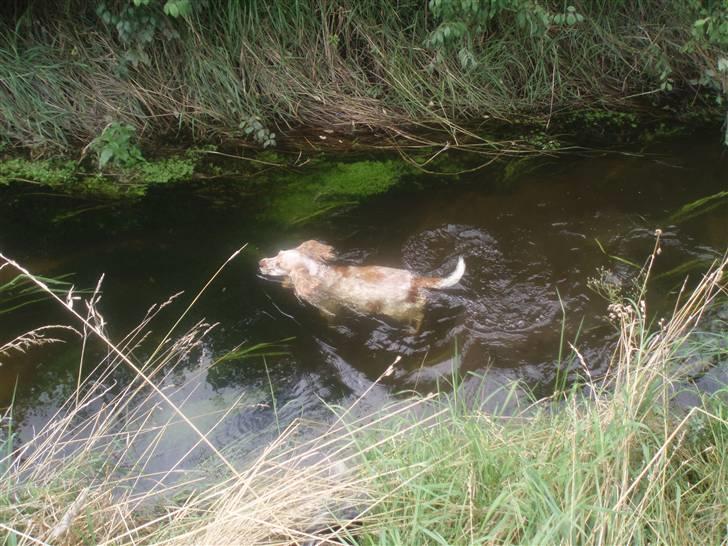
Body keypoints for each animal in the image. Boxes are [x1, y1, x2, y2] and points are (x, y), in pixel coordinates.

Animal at [258, 238, 464, 324]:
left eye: (278, 264)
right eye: (277, 253)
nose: (260, 263)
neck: (317, 273)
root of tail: (414, 279)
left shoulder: (328, 306)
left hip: (396, 311)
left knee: (419, 314)